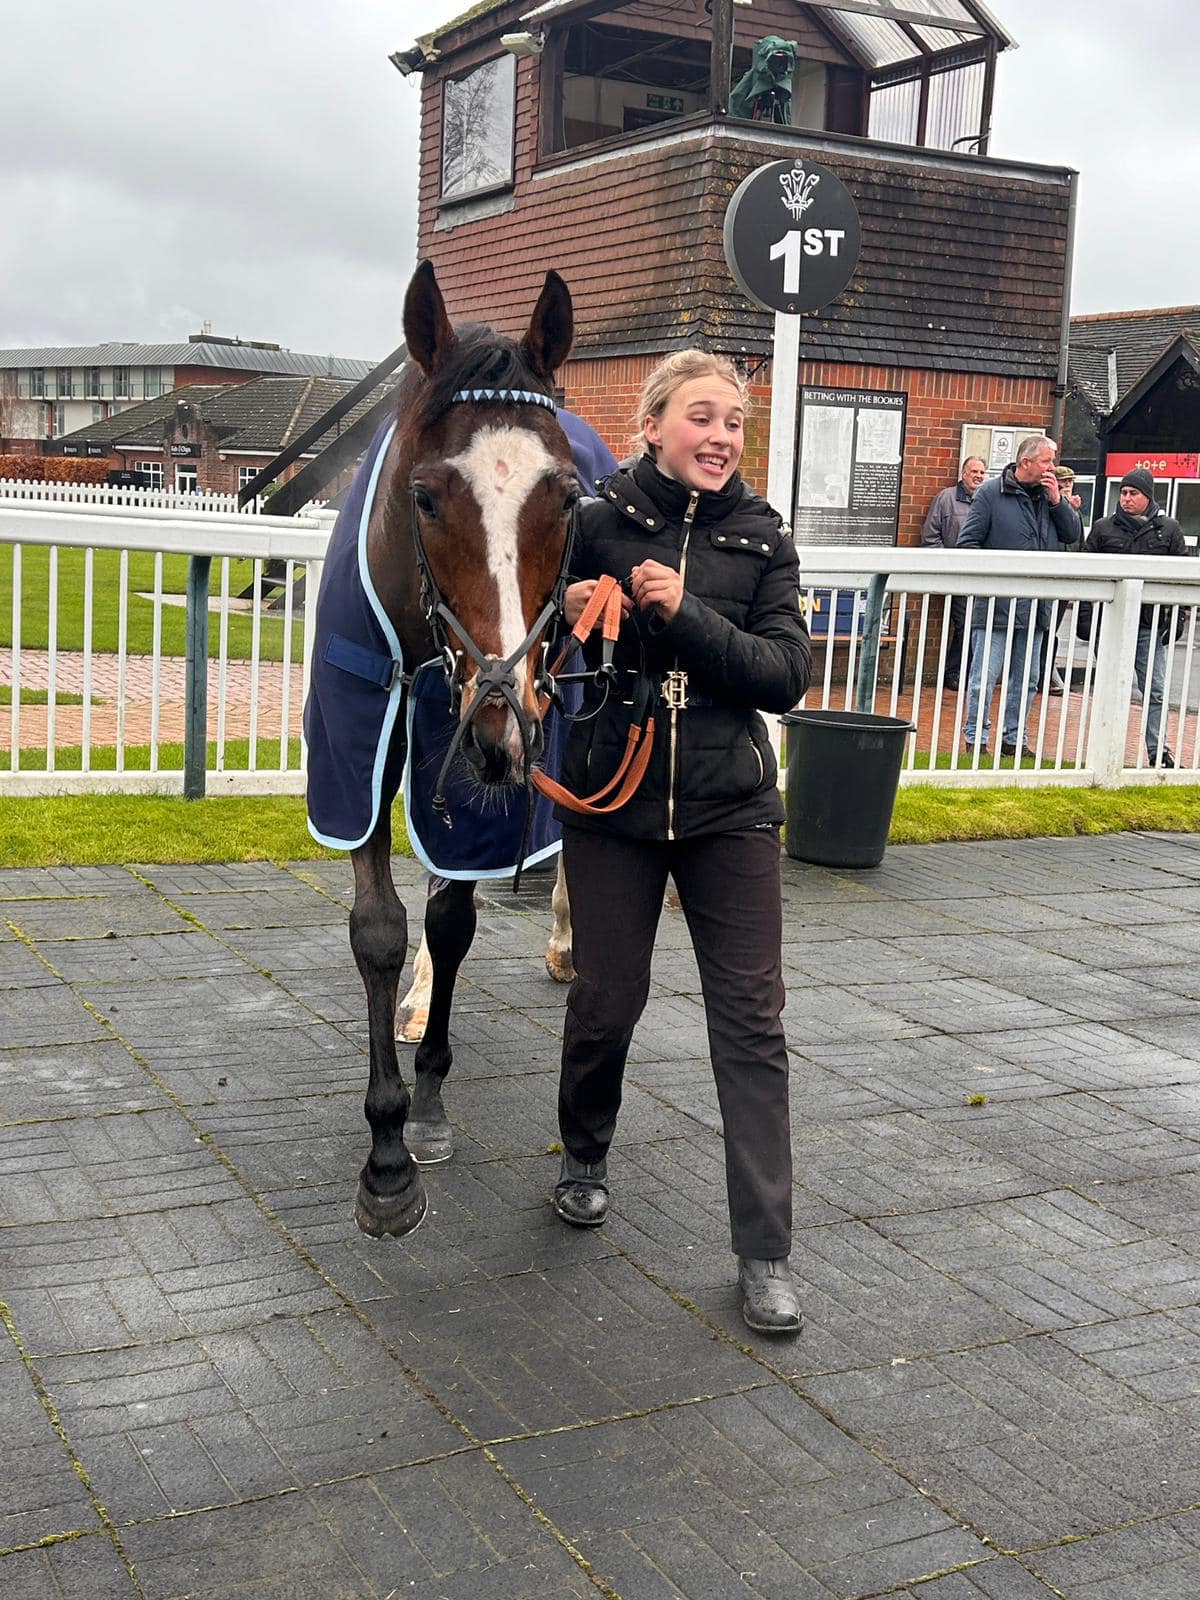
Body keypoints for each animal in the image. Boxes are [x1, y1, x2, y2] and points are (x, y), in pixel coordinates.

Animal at [315, 259, 582, 1235]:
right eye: (426, 497)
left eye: (567, 496)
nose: (506, 723)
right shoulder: (356, 750)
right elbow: (383, 930)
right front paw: (387, 1157)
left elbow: (453, 918)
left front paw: (421, 1104)